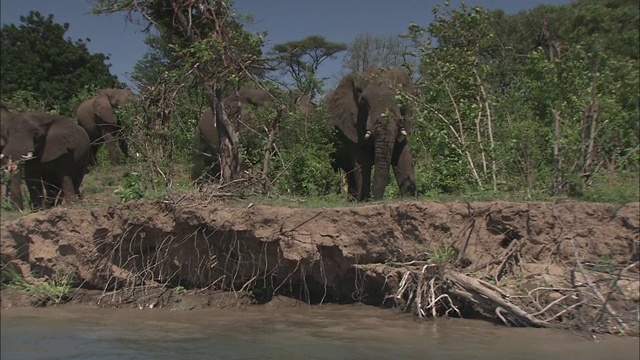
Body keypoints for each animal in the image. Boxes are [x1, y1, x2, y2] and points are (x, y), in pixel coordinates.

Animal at [328, 66, 418, 201]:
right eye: (364, 102)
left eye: (400, 100)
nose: (378, 199)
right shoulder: (353, 126)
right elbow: (363, 162)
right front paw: (363, 200)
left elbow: (403, 158)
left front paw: (409, 197)